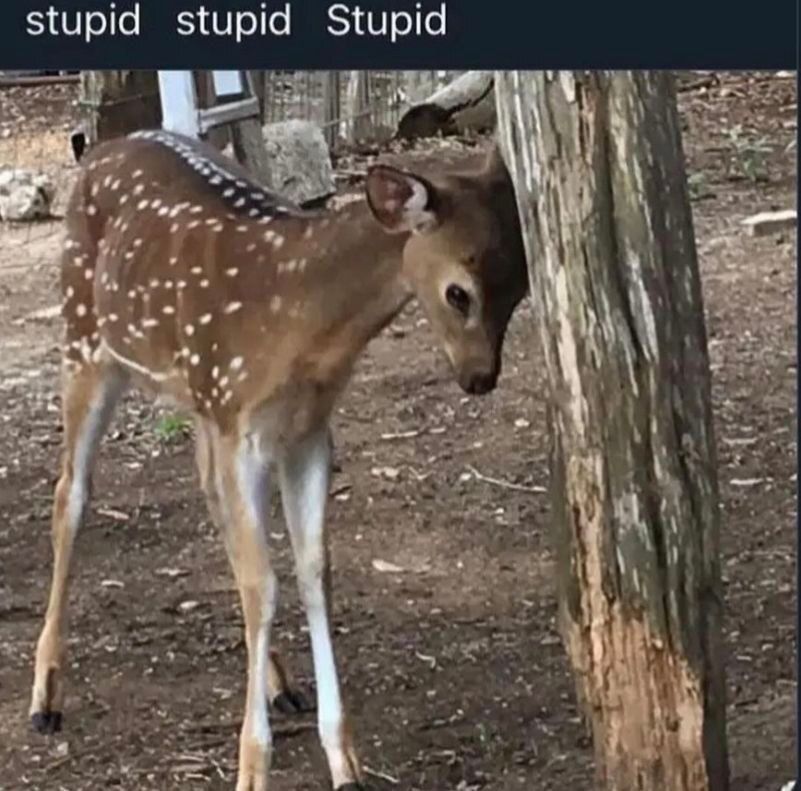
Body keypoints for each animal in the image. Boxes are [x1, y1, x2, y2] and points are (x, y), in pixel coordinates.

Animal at [29, 128, 528, 791]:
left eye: (521, 288)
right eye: (458, 292)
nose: (480, 378)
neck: (298, 321)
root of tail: (100, 147)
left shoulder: (305, 433)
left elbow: (313, 572)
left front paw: (345, 762)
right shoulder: (242, 430)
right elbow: (262, 586)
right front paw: (251, 769)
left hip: (197, 399)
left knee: (208, 496)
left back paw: (278, 682)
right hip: (85, 340)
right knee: (71, 496)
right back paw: (45, 698)